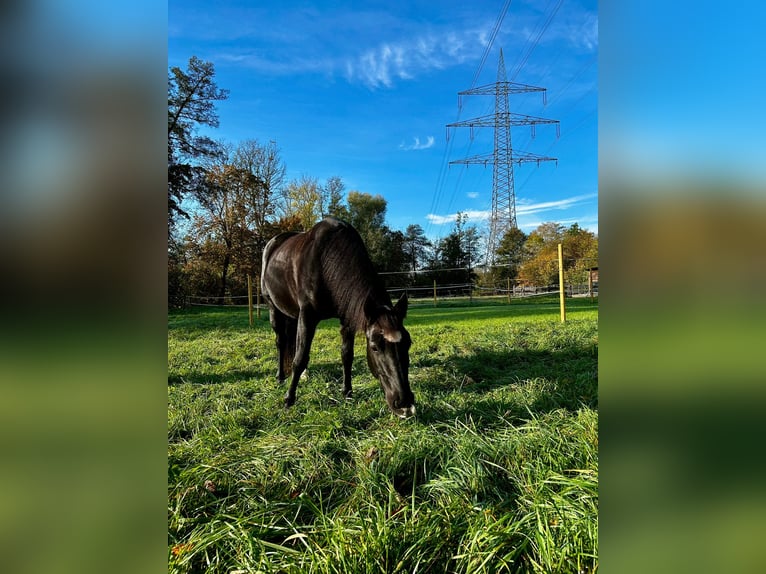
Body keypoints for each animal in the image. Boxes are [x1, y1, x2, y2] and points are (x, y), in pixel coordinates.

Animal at [260, 216, 416, 418]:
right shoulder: (307, 316)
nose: (404, 402)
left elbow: (346, 355)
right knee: (281, 342)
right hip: (274, 309)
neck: (326, 261)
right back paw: (280, 377)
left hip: (292, 315)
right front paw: (289, 400)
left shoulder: (346, 319)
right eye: (374, 347)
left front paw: (347, 392)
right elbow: (300, 358)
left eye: (408, 344)